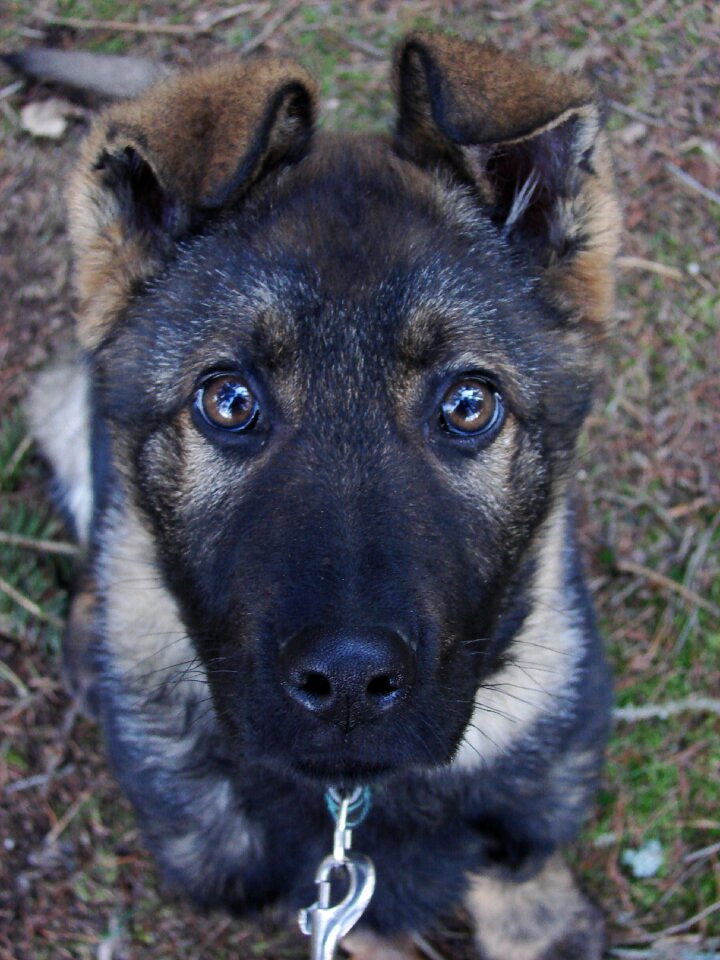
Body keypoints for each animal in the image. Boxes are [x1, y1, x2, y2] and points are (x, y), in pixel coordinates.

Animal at [23, 31, 620, 960]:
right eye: (229, 400)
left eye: (469, 404)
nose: (346, 682)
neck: (356, 798)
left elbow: (522, 876)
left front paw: (543, 922)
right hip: (58, 407)